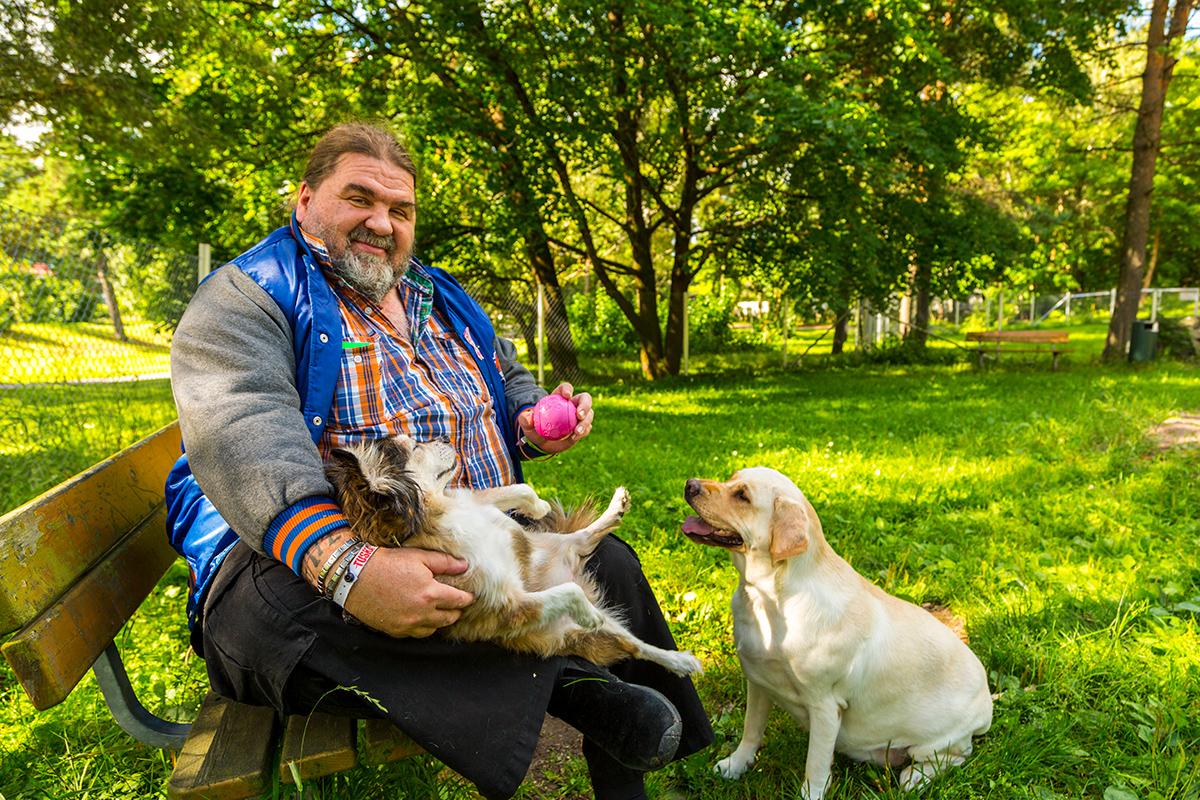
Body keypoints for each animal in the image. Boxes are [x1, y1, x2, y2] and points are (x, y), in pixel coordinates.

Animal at [328, 431, 700, 676]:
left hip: (556, 543)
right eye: (417, 448)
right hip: (571, 620)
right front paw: (586, 611)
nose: (445, 437)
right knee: (621, 634)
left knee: (583, 543)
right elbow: (568, 593)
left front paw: (538, 508)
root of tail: (569, 564)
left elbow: (519, 489)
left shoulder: (473, 501)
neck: (443, 512)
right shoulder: (509, 607)